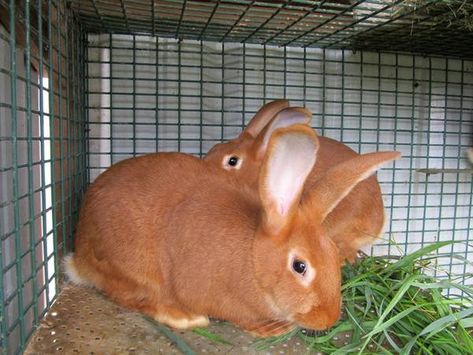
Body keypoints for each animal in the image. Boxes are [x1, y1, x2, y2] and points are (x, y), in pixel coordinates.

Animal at [66, 124, 398, 338]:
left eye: (331, 254)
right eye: (300, 266)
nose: (328, 319)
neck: (253, 259)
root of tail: (79, 255)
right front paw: (270, 328)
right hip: (133, 267)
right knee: (129, 296)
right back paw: (184, 318)